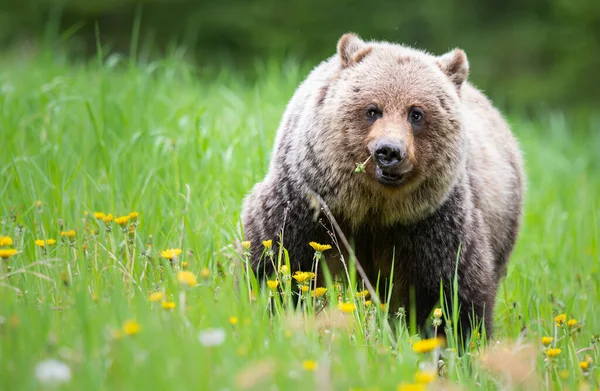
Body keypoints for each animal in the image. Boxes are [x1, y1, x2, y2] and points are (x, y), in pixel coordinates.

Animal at [241, 33, 524, 340]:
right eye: (373, 109)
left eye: (416, 113)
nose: (389, 151)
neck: (372, 207)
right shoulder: (306, 205)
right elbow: (277, 260)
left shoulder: (431, 224)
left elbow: (453, 291)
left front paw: (458, 338)